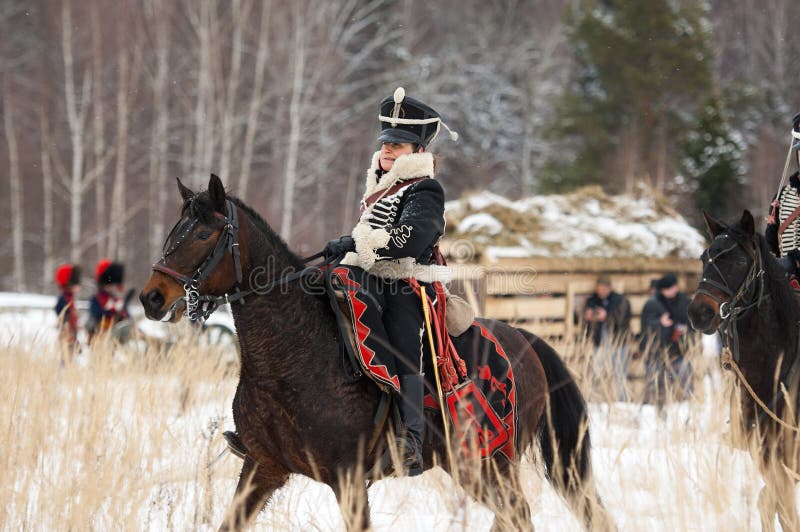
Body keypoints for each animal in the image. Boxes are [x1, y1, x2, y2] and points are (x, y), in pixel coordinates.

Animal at [141, 176, 608, 532]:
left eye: (204, 233)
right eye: (174, 231)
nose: (151, 298)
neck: (291, 357)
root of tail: (525, 341)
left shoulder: (347, 480)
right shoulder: (262, 468)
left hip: (487, 465)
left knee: (517, 515)